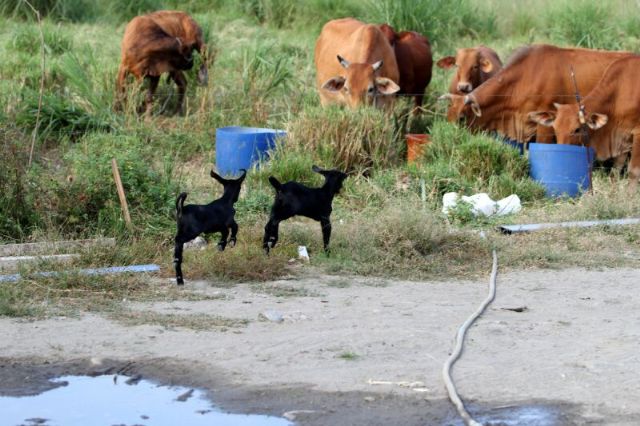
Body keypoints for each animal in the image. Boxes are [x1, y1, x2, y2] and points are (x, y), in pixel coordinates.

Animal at [528, 55, 640, 191]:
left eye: (577, 129)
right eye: (555, 129)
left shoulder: (637, 133)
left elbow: (633, 171)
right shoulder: (623, 135)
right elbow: (616, 168)